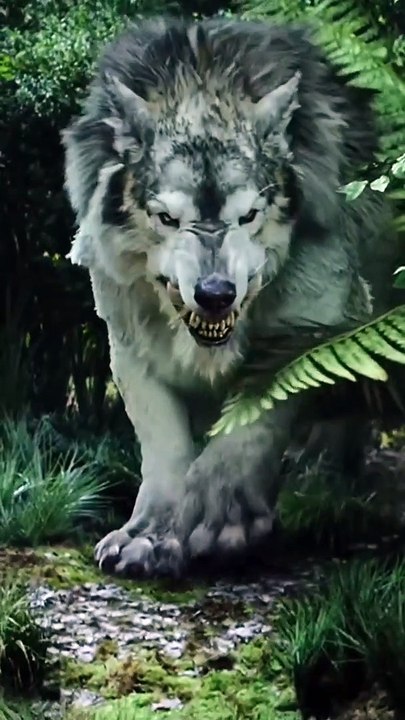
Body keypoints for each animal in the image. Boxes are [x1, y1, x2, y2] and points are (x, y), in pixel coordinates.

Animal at [63, 15, 396, 577]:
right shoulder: (129, 346)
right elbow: (164, 445)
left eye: (248, 217)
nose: (215, 294)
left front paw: (221, 517)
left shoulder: (308, 328)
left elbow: (253, 423)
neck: (202, 78)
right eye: (167, 219)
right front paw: (150, 533)